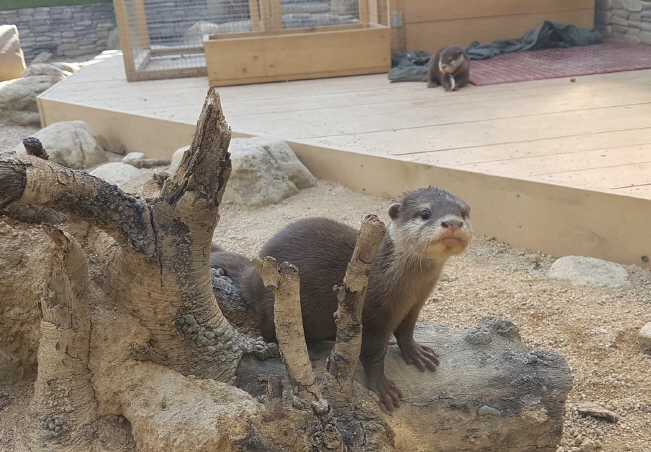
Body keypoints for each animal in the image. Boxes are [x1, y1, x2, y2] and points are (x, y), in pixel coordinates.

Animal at [211, 187, 472, 410]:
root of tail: (252, 277)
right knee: (269, 332)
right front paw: (382, 388)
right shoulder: (373, 314)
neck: (402, 285)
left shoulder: (416, 304)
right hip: (271, 305)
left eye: (463, 212)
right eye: (425, 213)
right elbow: (373, 354)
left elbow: (406, 331)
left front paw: (417, 353)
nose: (453, 223)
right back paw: (311, 347)